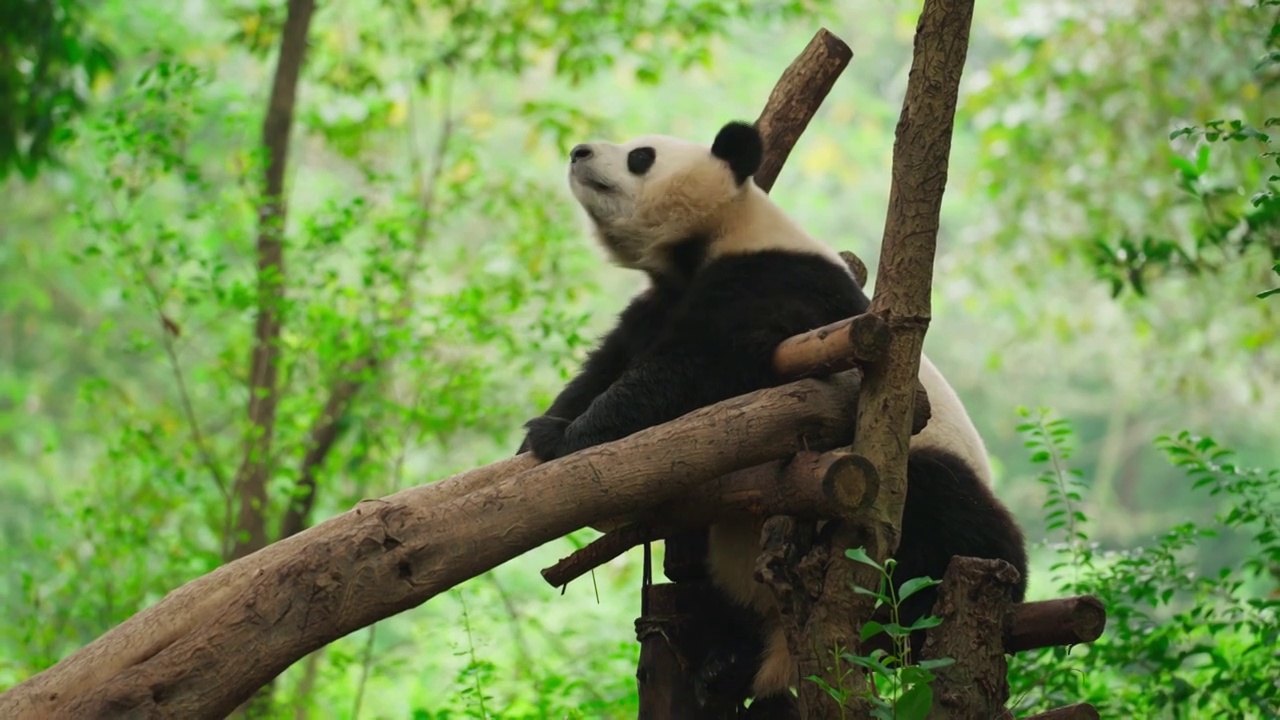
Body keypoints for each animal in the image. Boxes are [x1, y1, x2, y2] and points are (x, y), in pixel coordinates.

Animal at [514, 119, 1024, 712]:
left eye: (641, 156)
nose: (579, 152)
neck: (719, 233)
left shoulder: (778, 281)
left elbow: (699, 369)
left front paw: (565, 439)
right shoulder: (660, 301)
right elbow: (608, 364)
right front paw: (539, 432)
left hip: (906, 480)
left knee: (950, 508)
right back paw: (725, 661)